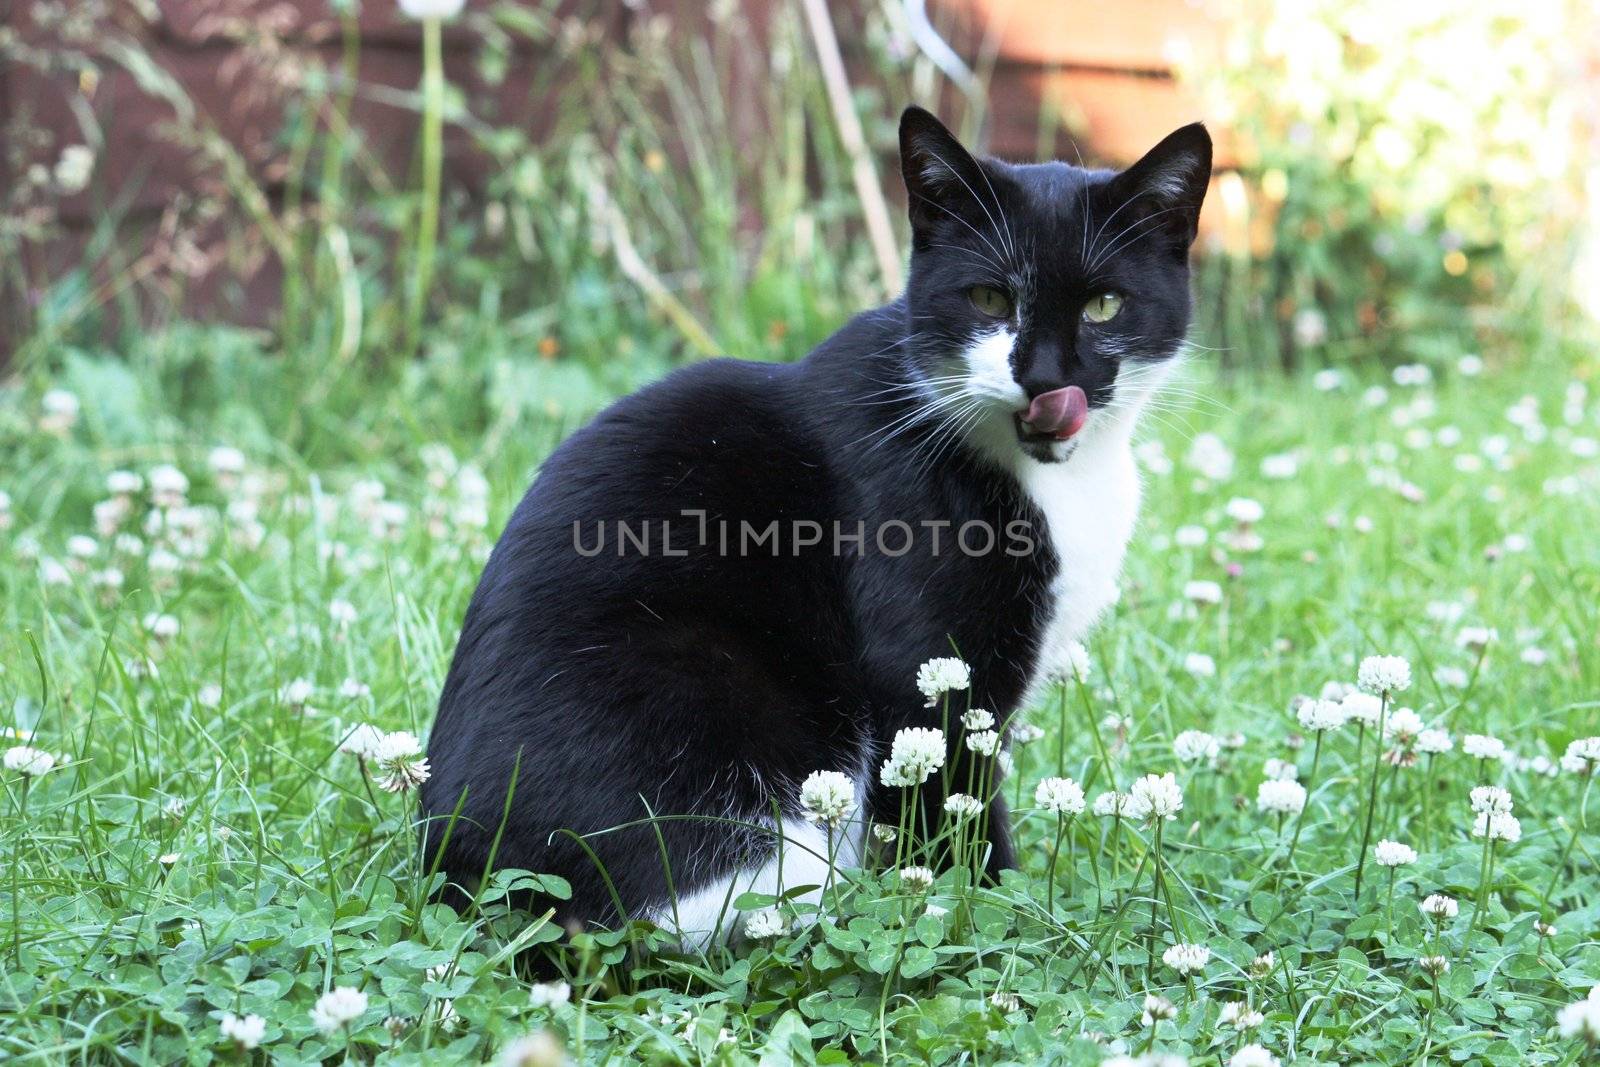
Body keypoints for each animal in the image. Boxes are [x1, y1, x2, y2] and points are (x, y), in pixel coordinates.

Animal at [419, 106, 1203, 940]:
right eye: (990, 300)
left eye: (1104, 306)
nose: (1047, 378)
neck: (1060, 479)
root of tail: (465, 875)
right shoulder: (922, 665)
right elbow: (948, 810)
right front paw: (988, 905)